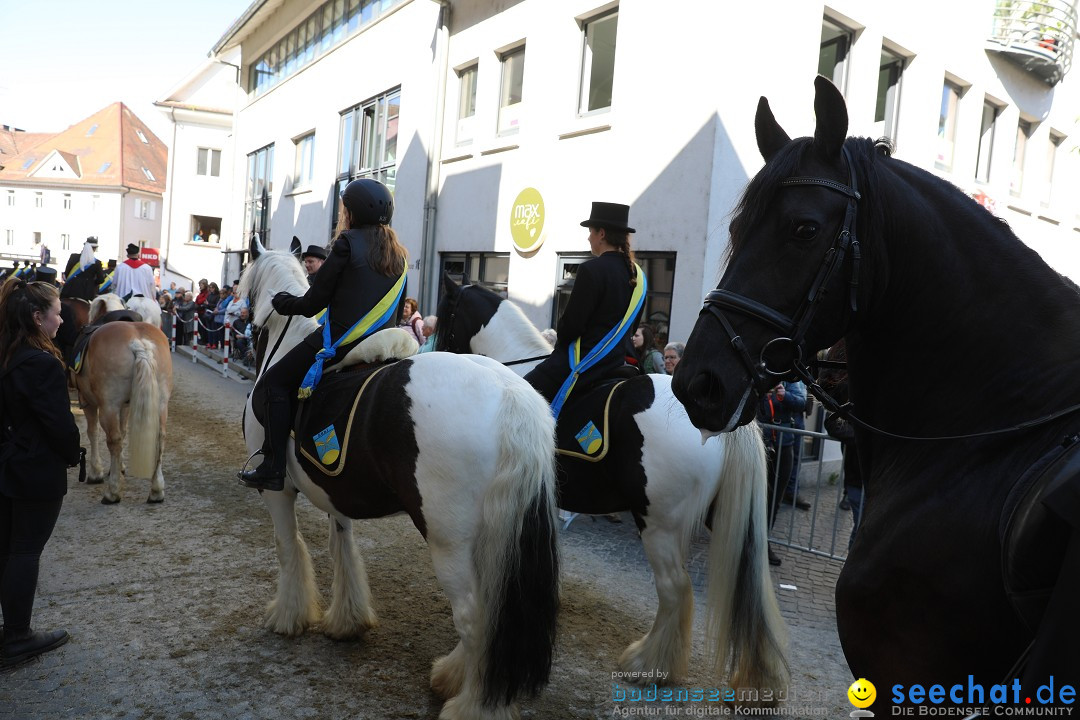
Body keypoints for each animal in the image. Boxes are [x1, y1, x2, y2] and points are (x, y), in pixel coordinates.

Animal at [68, 317, 171, 505]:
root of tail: (138, 342)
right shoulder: (125, 406)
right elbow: (123, 433)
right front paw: (120, 467)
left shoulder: (88, 401)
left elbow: (93, 433)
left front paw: (96, 473)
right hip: (161, 404)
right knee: (159, 438)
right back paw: (156, 491)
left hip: (108, 407)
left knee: (113, 441)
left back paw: (113, 492)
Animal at [240, 243, 561, 720]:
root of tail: (510, 395)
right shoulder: (337, 496)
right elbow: (342, 549)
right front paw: (347, 620)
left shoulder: (275, 490)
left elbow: (288, 547)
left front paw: (288, 616)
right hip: (495, 538)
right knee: (492, 611)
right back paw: (453, 675)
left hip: (450, 541)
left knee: (475, 617)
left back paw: (472, 704)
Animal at [434, 278, 790, 703]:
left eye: (446, 315)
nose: (433, 351)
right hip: (721, 520)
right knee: (749, 592)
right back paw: (759, 680)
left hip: (658, 525)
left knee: (675, 589)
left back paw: (649, 664)